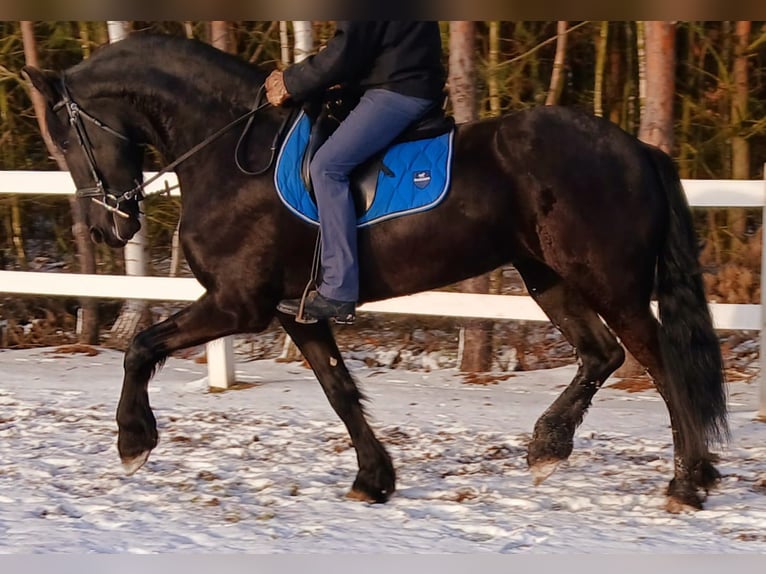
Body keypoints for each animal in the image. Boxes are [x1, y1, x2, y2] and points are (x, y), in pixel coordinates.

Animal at [24, 33, 728, 510]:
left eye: (65, 137)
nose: (106, 228)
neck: (231, 156)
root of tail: (637, 147)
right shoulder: (294, 311)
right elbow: (338, 390)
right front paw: (373, 479)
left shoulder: (236, 303)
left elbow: (140, 347)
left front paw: (133, 442)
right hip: (546, 277)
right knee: (601, 355)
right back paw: (549, 449)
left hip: (609, 282)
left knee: (661, 366)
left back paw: (687, 483)